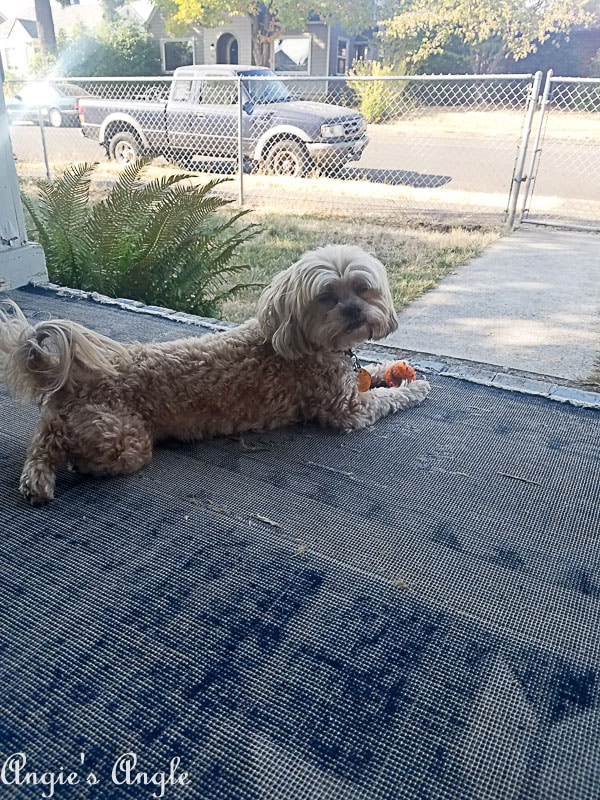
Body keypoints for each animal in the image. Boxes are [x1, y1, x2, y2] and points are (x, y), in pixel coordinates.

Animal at [0, 245, 432, 506]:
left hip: (70, 424)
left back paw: (35, 479)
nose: (355, 312)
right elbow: (387, 398)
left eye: (362, 288)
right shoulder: (346, 410)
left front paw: (395, 372)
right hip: (124, 441)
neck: (298, 339)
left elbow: (374, 374)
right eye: (326, 297)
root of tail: (75, 380)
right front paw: (418, 387)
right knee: (69, 448)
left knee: (40, 440)